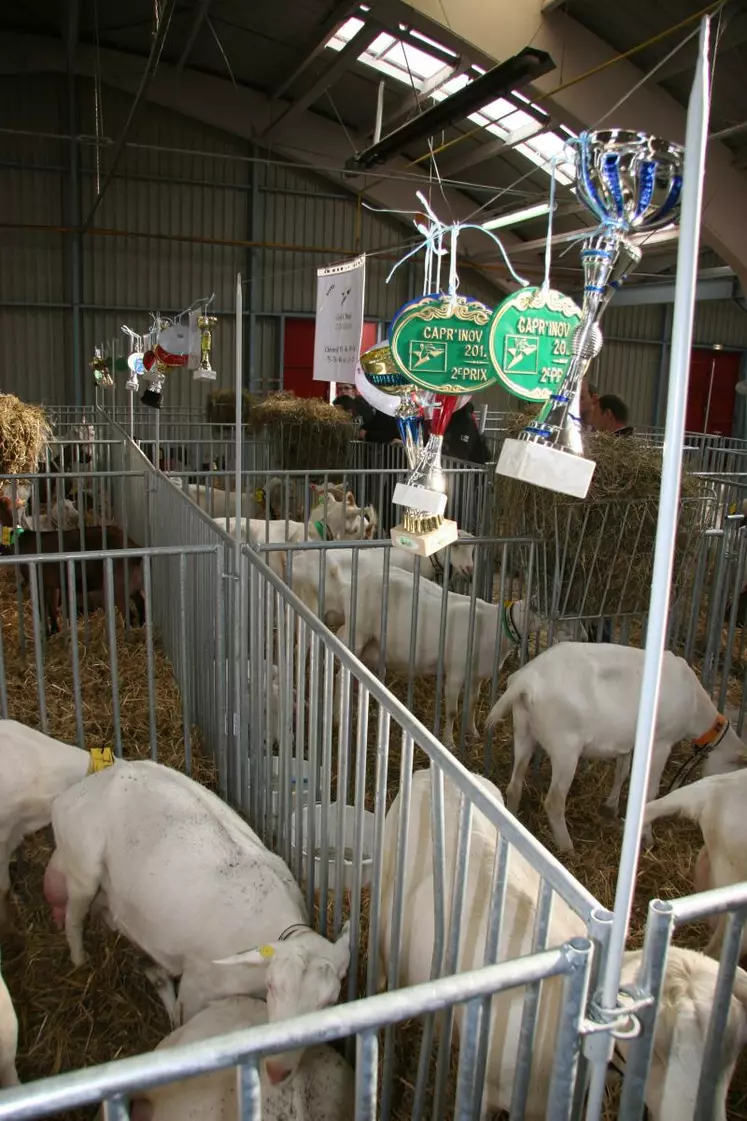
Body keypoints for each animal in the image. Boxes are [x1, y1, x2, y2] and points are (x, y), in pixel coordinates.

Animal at [43, 757, 349, 1080]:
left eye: (329, 1003)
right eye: (274, 987)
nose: (278, 1070)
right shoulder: (197, 984)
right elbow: (184, 1018)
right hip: (82, 868)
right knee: (74, 918)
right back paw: (81, 960)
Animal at [486, 645, 740, 851]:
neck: (697, 708)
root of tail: (526, 680)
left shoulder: (627, 743)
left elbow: (622, 772)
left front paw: (611, 806)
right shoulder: (661, 742)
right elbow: (651, 792)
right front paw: (647, 837)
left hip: (523, 730)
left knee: (514, 785)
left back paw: (514, 819)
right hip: (565, 746)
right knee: (554, 800)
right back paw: (568, 847)